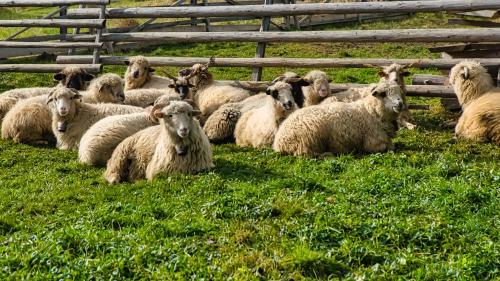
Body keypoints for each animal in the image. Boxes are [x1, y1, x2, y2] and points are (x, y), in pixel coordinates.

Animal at [272, 80, 404, 156]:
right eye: (383, 94)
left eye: (399, 92)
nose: (400, 103)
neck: (371, 111)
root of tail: (278, 141)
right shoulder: (372, 142)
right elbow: (389, 147)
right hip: (308, 139)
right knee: (304, 154)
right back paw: (328, 154)